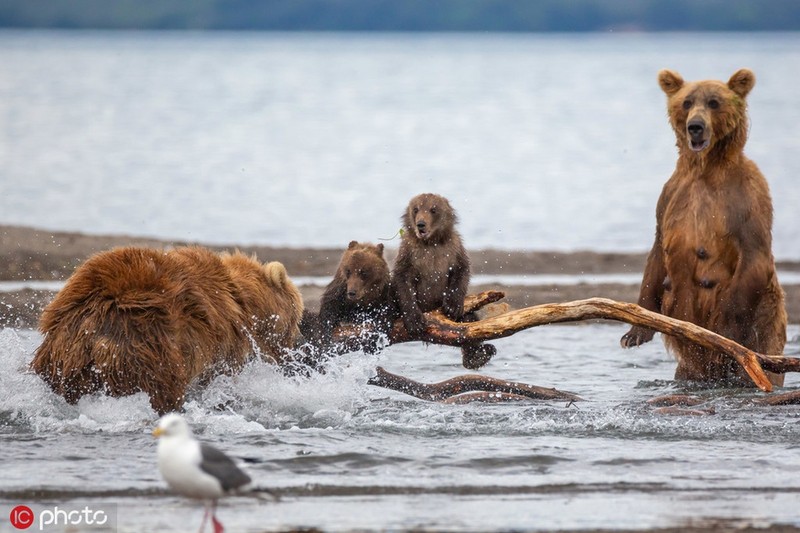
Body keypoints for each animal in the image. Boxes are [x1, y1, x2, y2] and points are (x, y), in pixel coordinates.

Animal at [392, 192, 496, 370]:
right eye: (416, 209)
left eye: (433, 209)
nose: (420, 224)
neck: (431, 242)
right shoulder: (409, 251)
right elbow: (402, 278)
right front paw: (414, 320)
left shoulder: (453, 247)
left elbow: (461, 270)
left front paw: (452, 305)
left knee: (469, 322)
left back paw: (478, 356)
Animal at [620, 68, 788, 384]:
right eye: (687, 102)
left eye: (714, 102)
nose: (695, 127)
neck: (705, 169)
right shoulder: (670, 197)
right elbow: (657, 254)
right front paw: (634, 332)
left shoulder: (747, 198)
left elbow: (754, 253)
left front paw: (725, 335)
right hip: (689, 366)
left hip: (765, 326)